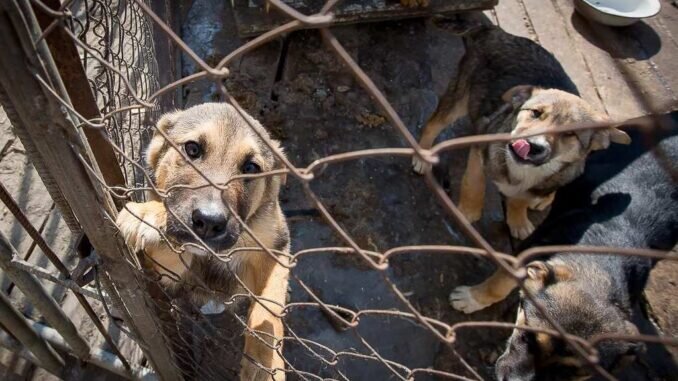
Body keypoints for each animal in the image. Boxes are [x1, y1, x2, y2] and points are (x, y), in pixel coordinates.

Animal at [117, 102, 292, 378]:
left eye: (250, 168)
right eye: (192, 149)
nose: (209, 222)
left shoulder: (277, 248)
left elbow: (268, 309)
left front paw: (264, 363)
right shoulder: (169, 275)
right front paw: (152, 213)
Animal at [414, 23, 632, 238]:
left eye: (570, 133)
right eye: (536, 113)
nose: (532, 146)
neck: (524, 171)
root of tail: (498, 32)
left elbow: (521, 199)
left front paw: (518, 220)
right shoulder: (480, 148)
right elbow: (475, 183)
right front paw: (468, 212)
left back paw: (544, 199)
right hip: (459, 96)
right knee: (432, 125)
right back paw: (422, 155)